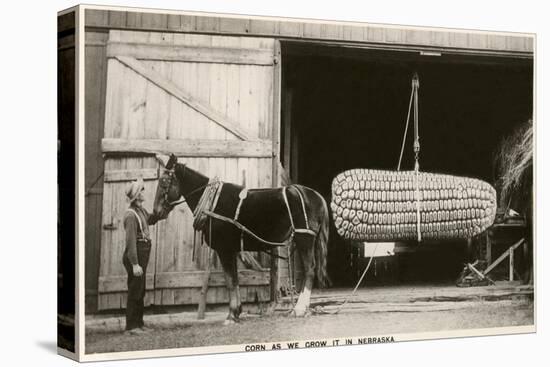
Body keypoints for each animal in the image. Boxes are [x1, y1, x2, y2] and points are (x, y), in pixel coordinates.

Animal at [153, 154, 330, 324]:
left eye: (163, 182)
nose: (155, 212)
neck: (213, 203)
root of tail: (317, 196)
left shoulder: (224, 249)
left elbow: (230, 281)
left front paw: (232, 315)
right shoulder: (231, 250)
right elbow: (235, 280)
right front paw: (237, 312)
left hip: (304, 239)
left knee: (310, 270)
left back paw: (299, 309)